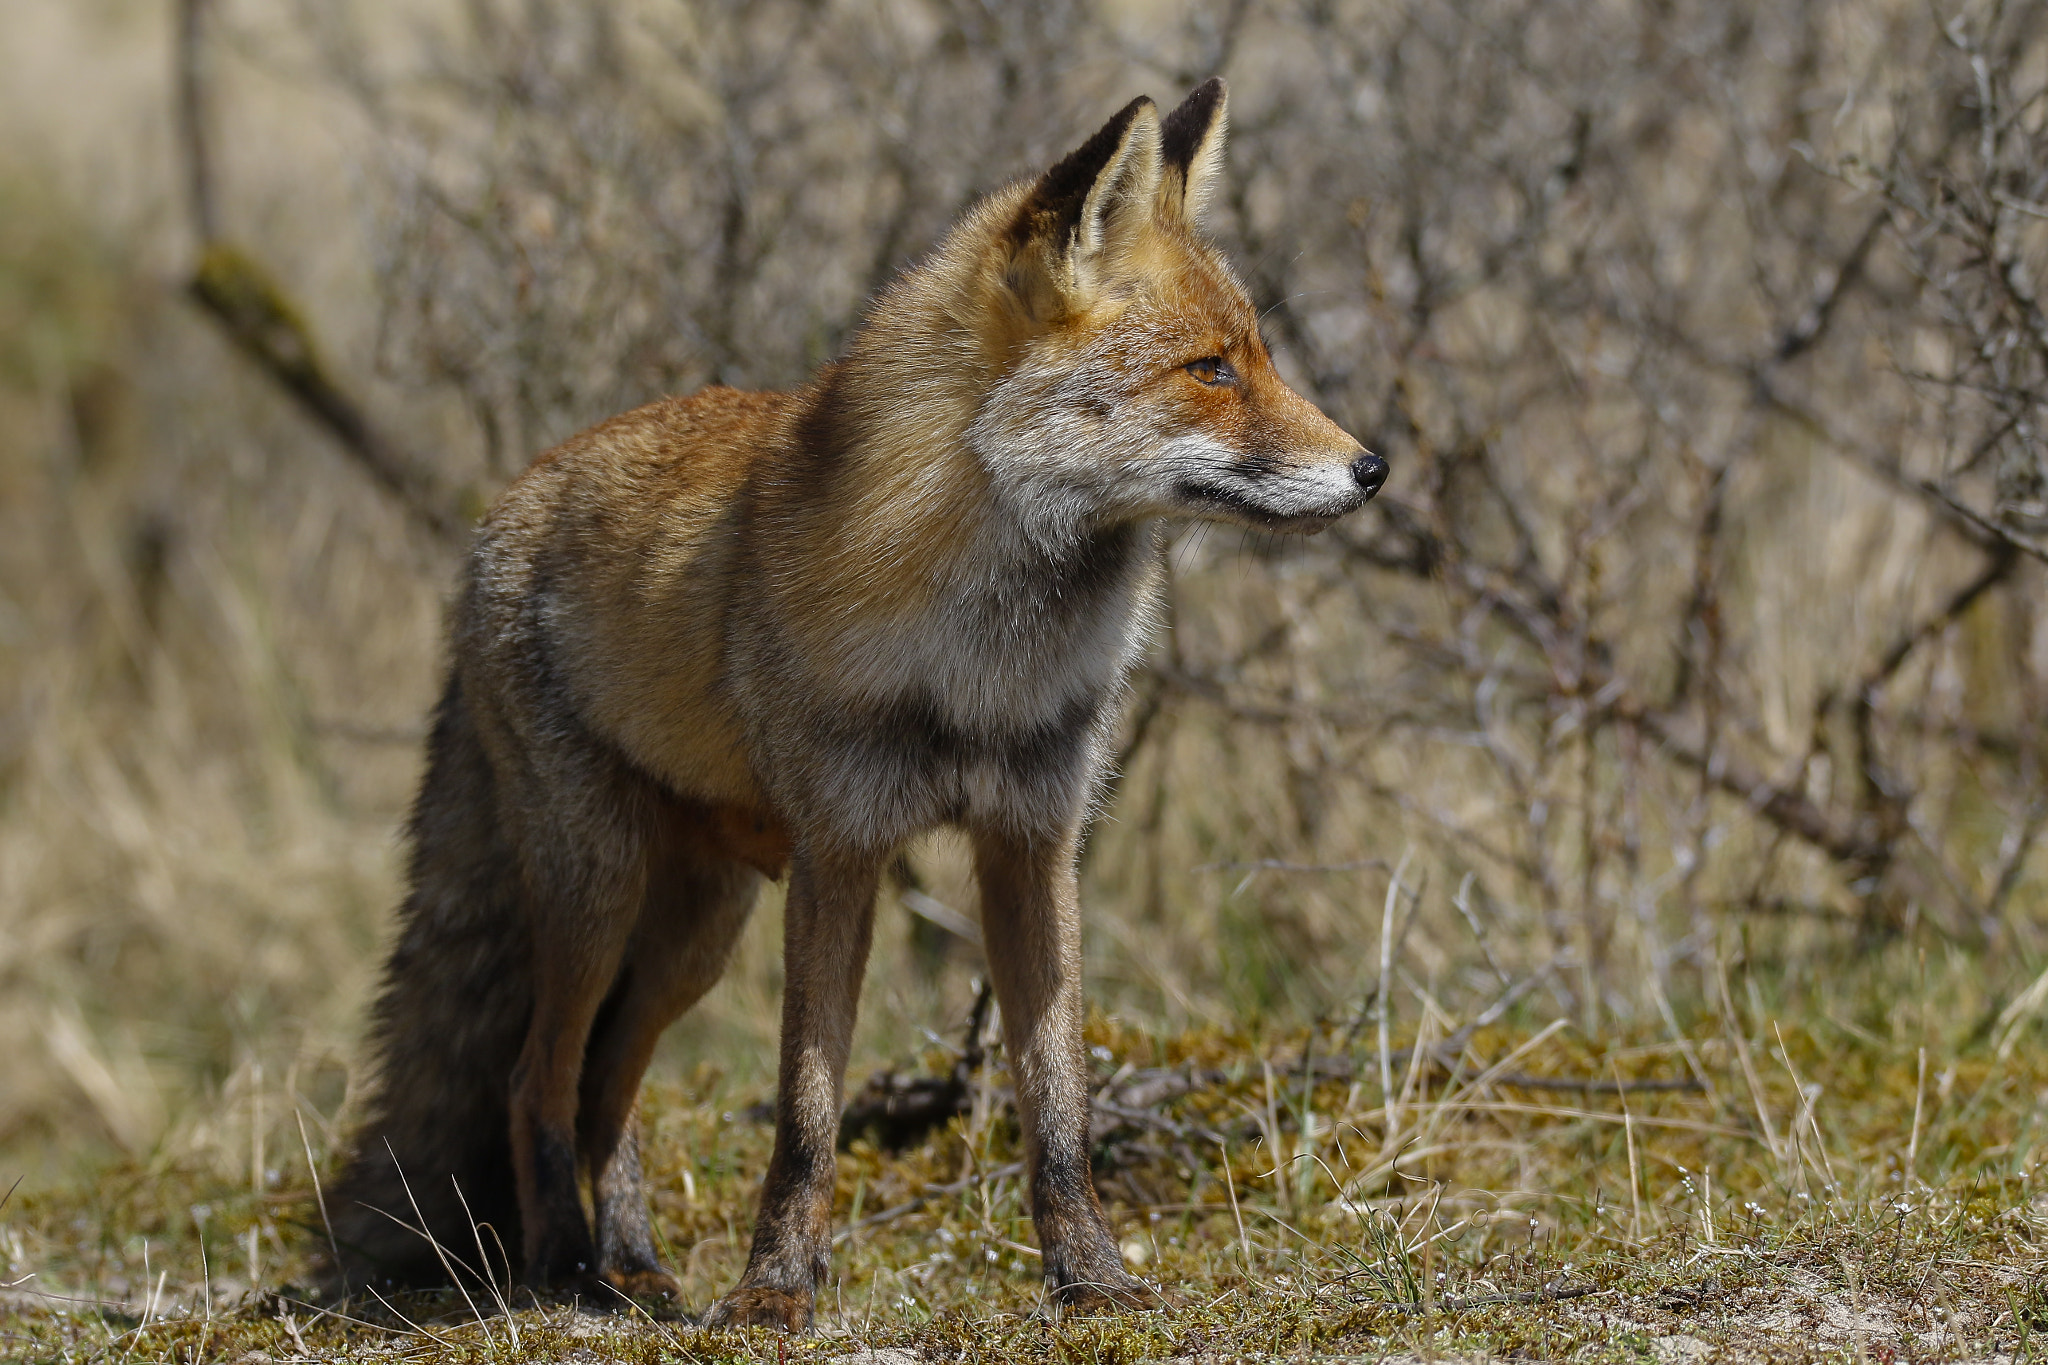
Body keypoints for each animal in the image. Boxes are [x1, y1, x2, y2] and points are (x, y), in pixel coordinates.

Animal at [324, 77, 1386, 1330]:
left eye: (1258, 354)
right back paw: (563, 1269)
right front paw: (775, 1291)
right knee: (537, 1075)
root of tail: (500, 512)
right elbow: (806, 1113)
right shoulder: (840, 853)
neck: (978, 663)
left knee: (603, 1088)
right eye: (1211, 369)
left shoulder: (1031, 841)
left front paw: (1091, 1278)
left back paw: (628, 1261)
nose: (1373, 468)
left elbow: (1057, 1107)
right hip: (601, 892)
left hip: (694, 935)